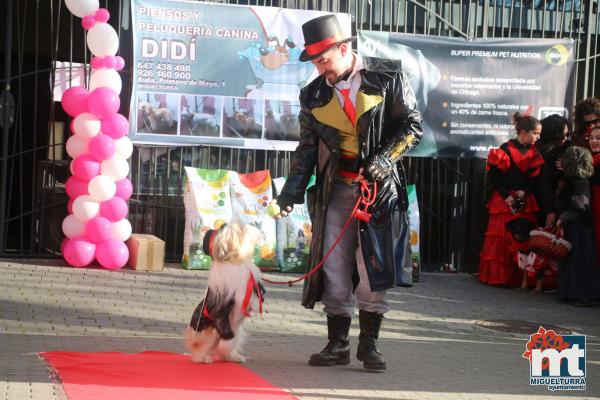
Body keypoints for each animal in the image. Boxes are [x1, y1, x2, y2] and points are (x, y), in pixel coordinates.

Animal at [185, 223, 264, 364]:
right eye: (242, 228)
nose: (253, 226)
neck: (234, 260)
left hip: (237, 331)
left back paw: (234, 357)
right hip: (210, 332)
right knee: (204, 349)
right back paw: (204, 358)